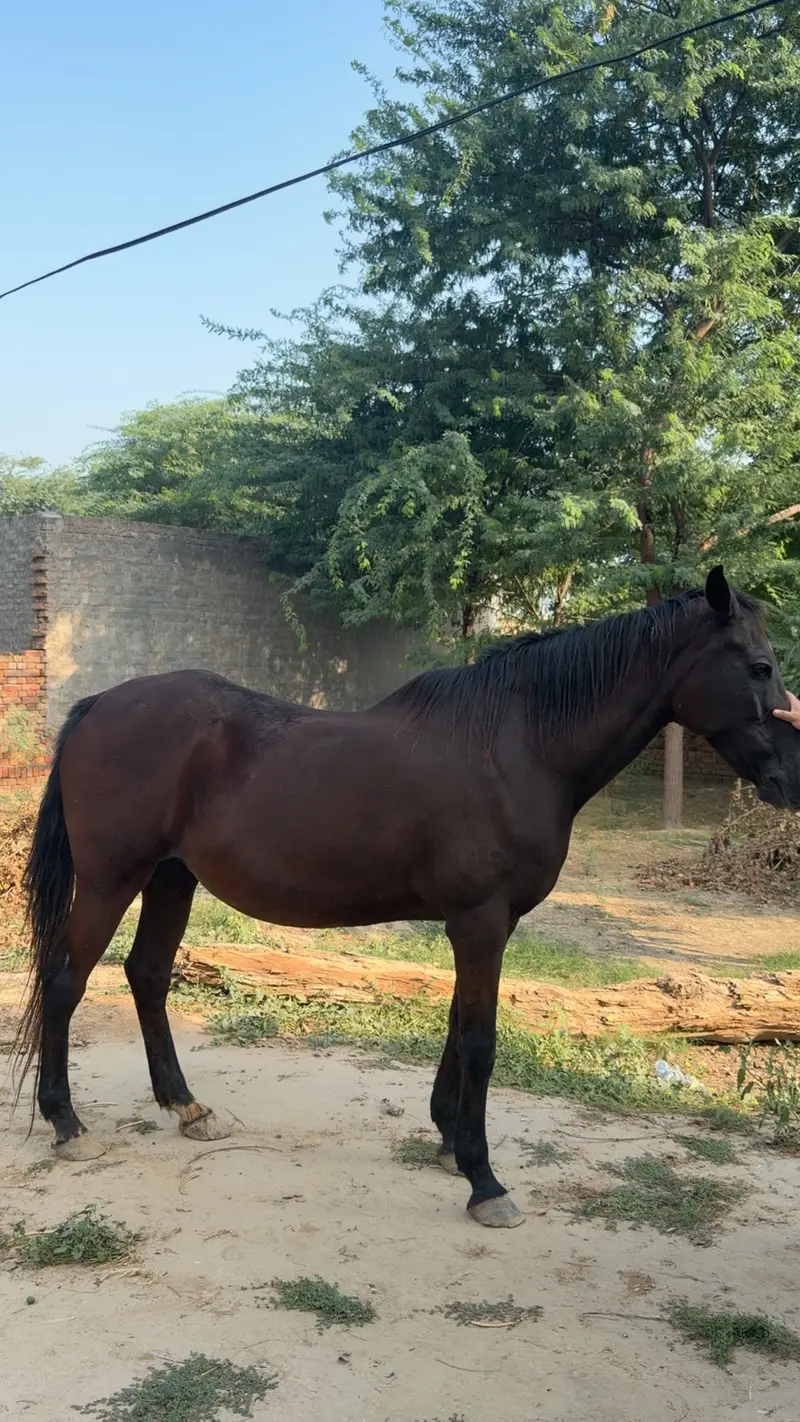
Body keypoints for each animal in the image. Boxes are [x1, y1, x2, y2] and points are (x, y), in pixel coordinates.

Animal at [13, 566, 800, 1228]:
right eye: (759, 667)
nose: (790, 778)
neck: (516, 746)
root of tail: (98, 706)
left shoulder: (483, 924)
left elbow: (456, 1023)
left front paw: (449, 1138)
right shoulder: (480, 922)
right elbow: (481, 1038)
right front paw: (485, 1180)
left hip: (172, 877)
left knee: (145, 975)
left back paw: (186, 1107)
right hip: (113, 878)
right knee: (64, 980)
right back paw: (66, 1124)